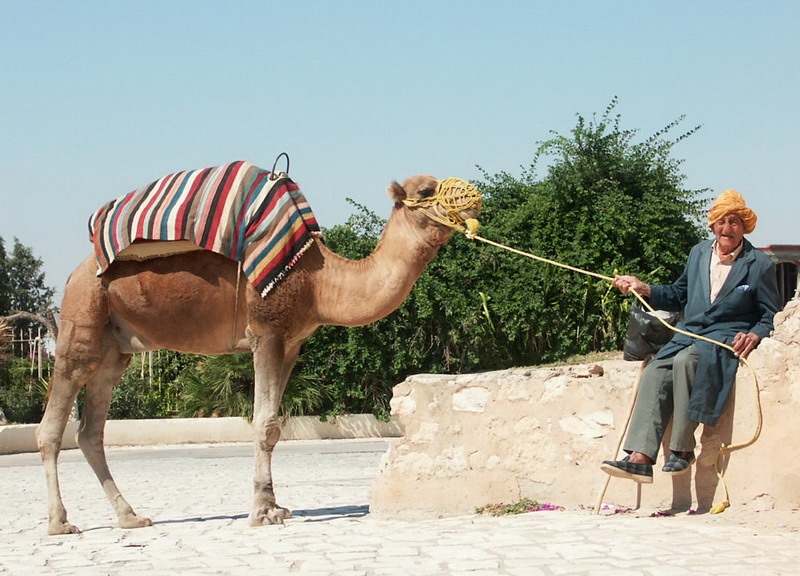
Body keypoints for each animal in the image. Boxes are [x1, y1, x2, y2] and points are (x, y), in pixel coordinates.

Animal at [34, 172, 478, 536]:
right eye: (427, 190)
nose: (474, 202)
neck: (318, 281)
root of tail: (73, 274)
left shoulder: (292, 342)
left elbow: (276, 426)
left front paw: (276, 505)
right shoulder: (266, 331)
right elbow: (264, 425)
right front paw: (263, 513)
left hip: (116, 350)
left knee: (91, 431)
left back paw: (130, 516)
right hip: (81, 323)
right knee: (53, 425)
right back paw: (59, 522)